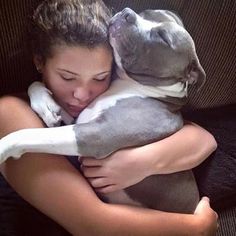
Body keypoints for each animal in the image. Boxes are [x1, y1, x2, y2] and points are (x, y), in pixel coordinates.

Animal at [0, 8, 206, 213]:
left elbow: (30, 134)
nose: (127, 13)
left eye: (163, 37)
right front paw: (46, 105)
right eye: (146, 12)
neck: (132, 87)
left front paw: (4, 147)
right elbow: (36, 87)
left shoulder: (94, 135)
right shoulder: (79, 119)